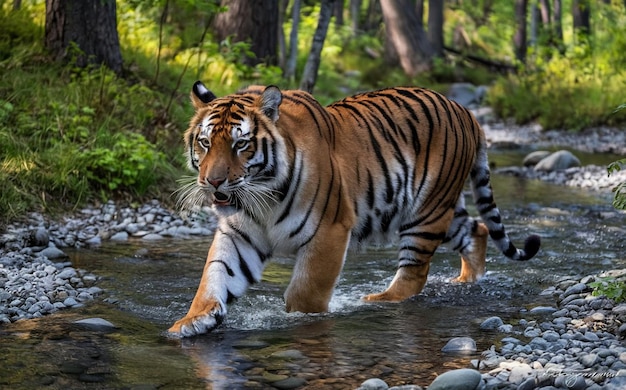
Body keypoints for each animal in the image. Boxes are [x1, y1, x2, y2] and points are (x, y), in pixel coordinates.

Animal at [168, 80, 540, 336]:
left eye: (240, 144)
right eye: (205, 143)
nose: (213, 182)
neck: (261, 200)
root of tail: (467, 112)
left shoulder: (329, 230)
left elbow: (305, 292)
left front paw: (302, 323)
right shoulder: (240, 234)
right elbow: (216, 274)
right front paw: (191, 321)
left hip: (426, 212)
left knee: (415, 272)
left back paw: (379, 300)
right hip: (443, 211)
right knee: (477, 229)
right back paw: (466, 281)